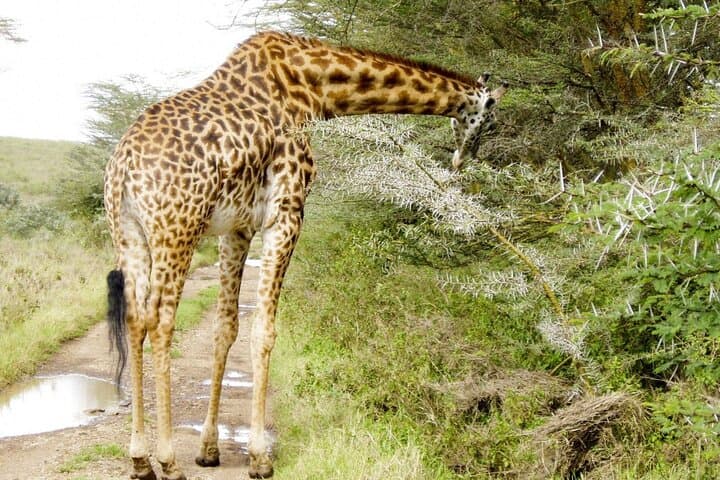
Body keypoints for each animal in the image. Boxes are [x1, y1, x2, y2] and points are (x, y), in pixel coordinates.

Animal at [104, 30, 506, 480]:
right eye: (489, 119)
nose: (464, 159)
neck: (316, 88)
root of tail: (123, 169)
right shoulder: (287, 213)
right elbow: (264, 330)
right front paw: (260, 457)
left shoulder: (237, 228)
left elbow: (226, 328)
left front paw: (209, 449)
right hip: (177, 230)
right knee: (160, 322)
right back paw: (168, 461)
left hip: (129, 233)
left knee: (135, 320)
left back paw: (140, 459)